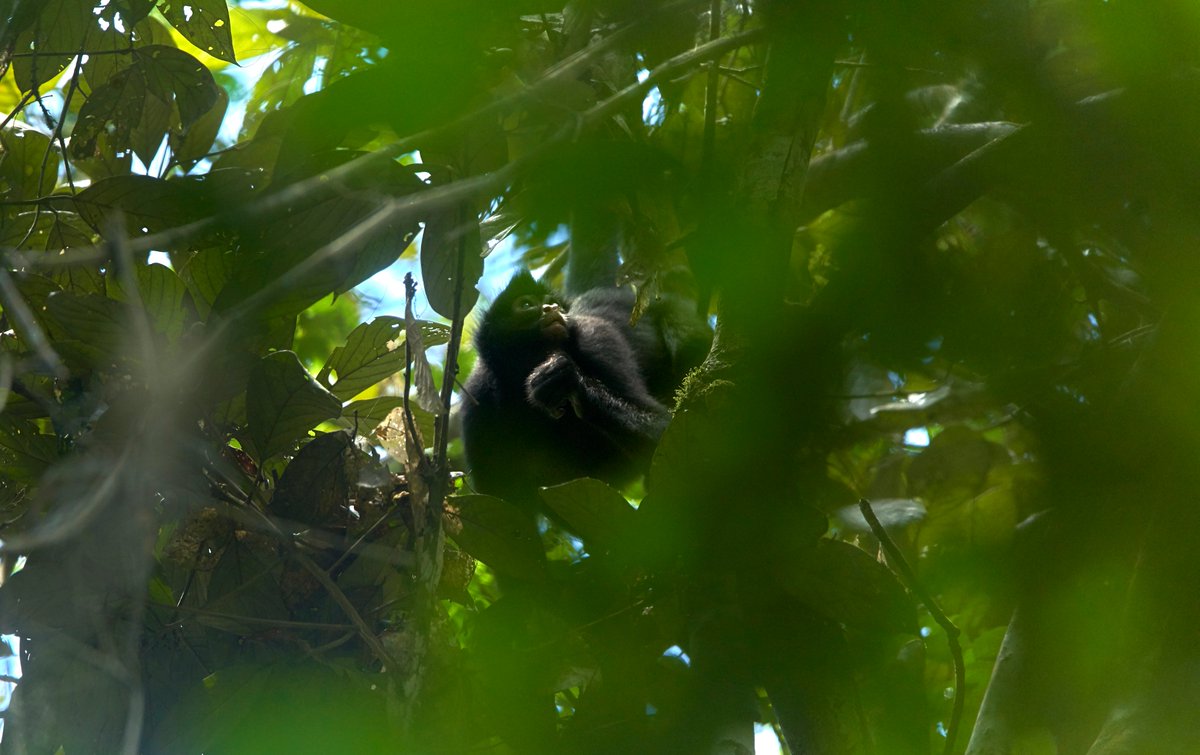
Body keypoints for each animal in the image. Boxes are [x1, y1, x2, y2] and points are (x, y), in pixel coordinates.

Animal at [460, 269, 709, 508]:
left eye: (555, 304)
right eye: (526, 305)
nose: (551, 308)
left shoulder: (598, 339)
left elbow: (665, 429)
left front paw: (570, 381)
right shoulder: (477, 402)